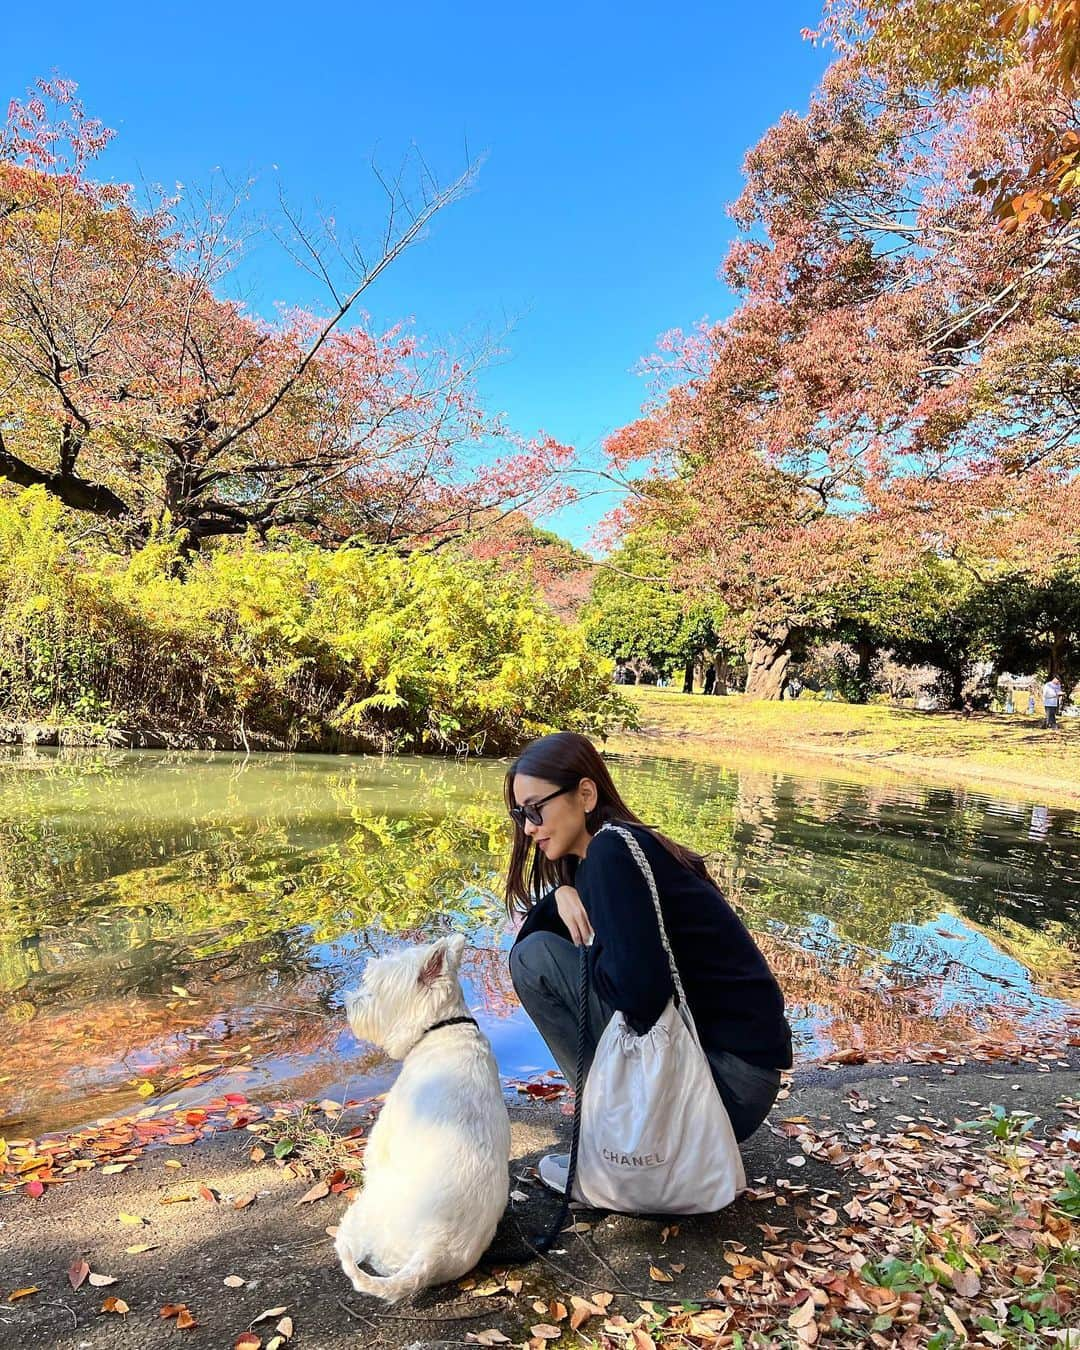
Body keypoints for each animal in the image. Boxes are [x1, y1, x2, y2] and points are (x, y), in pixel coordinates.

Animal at [333, 934, 510, 1301]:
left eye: (374, 987)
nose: (348, 1005)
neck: (443, 1028)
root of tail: (433, 1249)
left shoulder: (385, 1133)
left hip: (370, 1209)